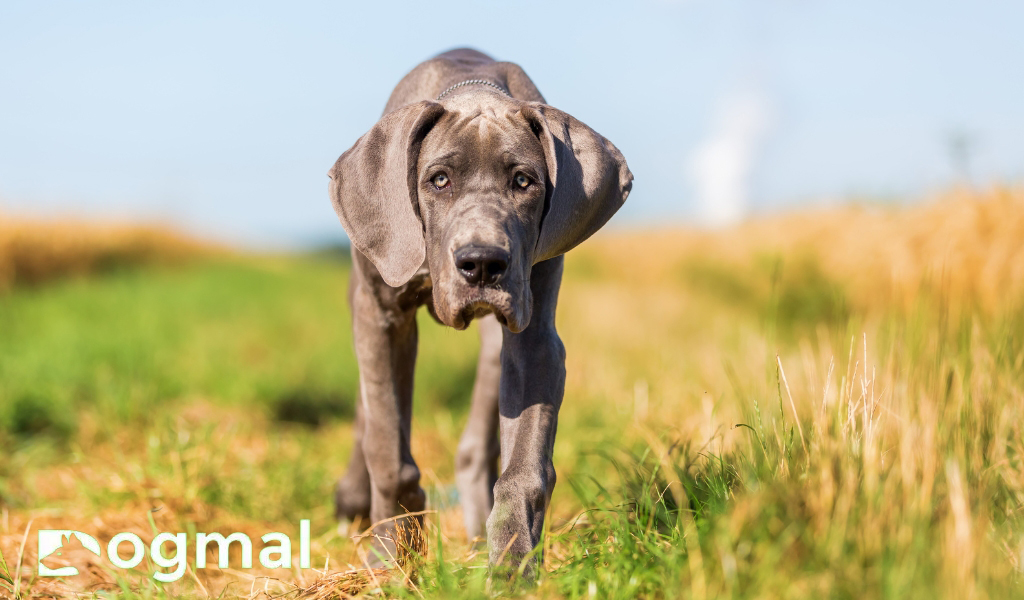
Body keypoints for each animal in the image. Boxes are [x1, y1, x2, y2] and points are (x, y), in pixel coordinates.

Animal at [327, 46, 630, 569]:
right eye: (439, 180)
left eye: (524, 181)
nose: (483, 263)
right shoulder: (381, 319)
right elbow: (387, 449)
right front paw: (390, 558)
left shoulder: (536, 340)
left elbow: (525, 468)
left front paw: (513, 564)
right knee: (369, 412)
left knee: (475, 445)